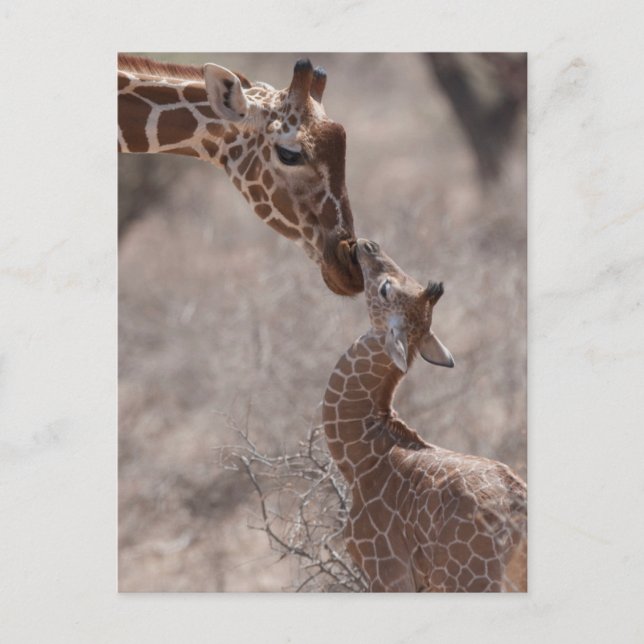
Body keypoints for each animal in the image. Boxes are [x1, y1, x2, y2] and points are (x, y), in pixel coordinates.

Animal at [322, 239, 527, 592]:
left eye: (385, 289)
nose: (368, 244)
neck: (361, 453)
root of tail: (520, 512)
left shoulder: (387, 570)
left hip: (468, 580)